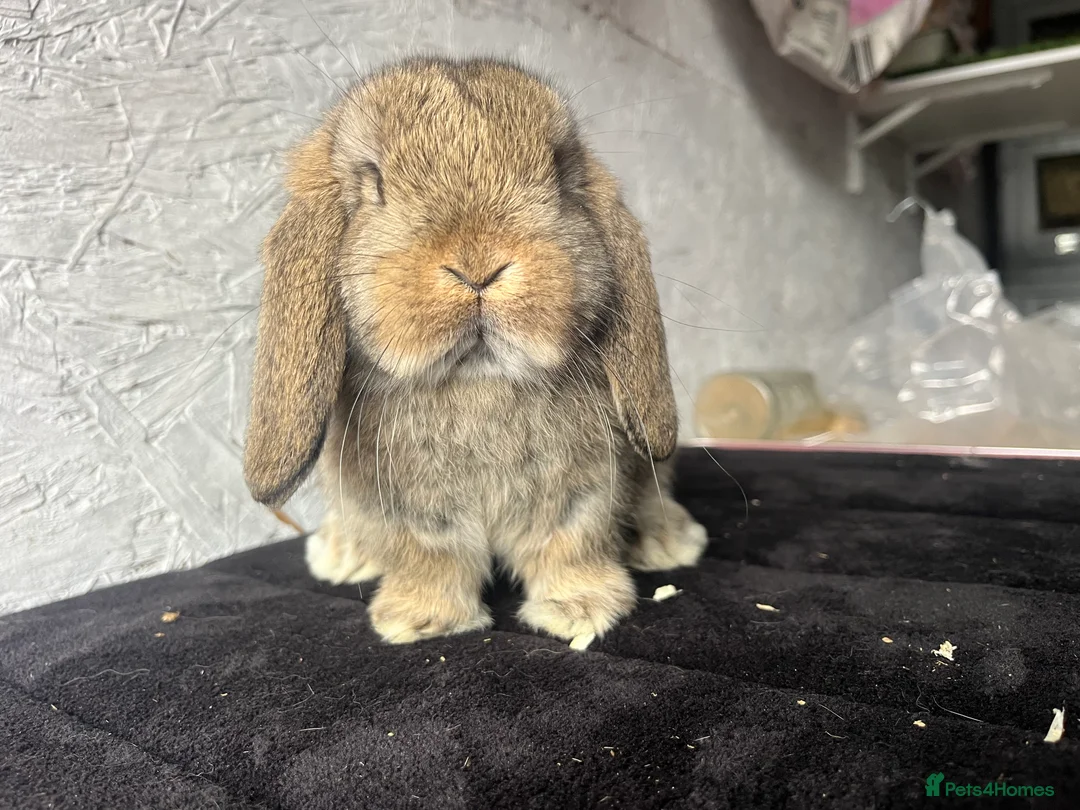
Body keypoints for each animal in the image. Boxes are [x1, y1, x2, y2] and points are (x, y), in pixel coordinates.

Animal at [243, 57, 708, 644]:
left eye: (560, 175)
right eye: (374, 181)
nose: (478, 266)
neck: (477, 381)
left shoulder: (585, 491)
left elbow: (570, 546)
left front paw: (581, 609)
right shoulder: (408, 512)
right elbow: (430, 558)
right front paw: (418, 620)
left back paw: (672, 543)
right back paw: (340, 556)